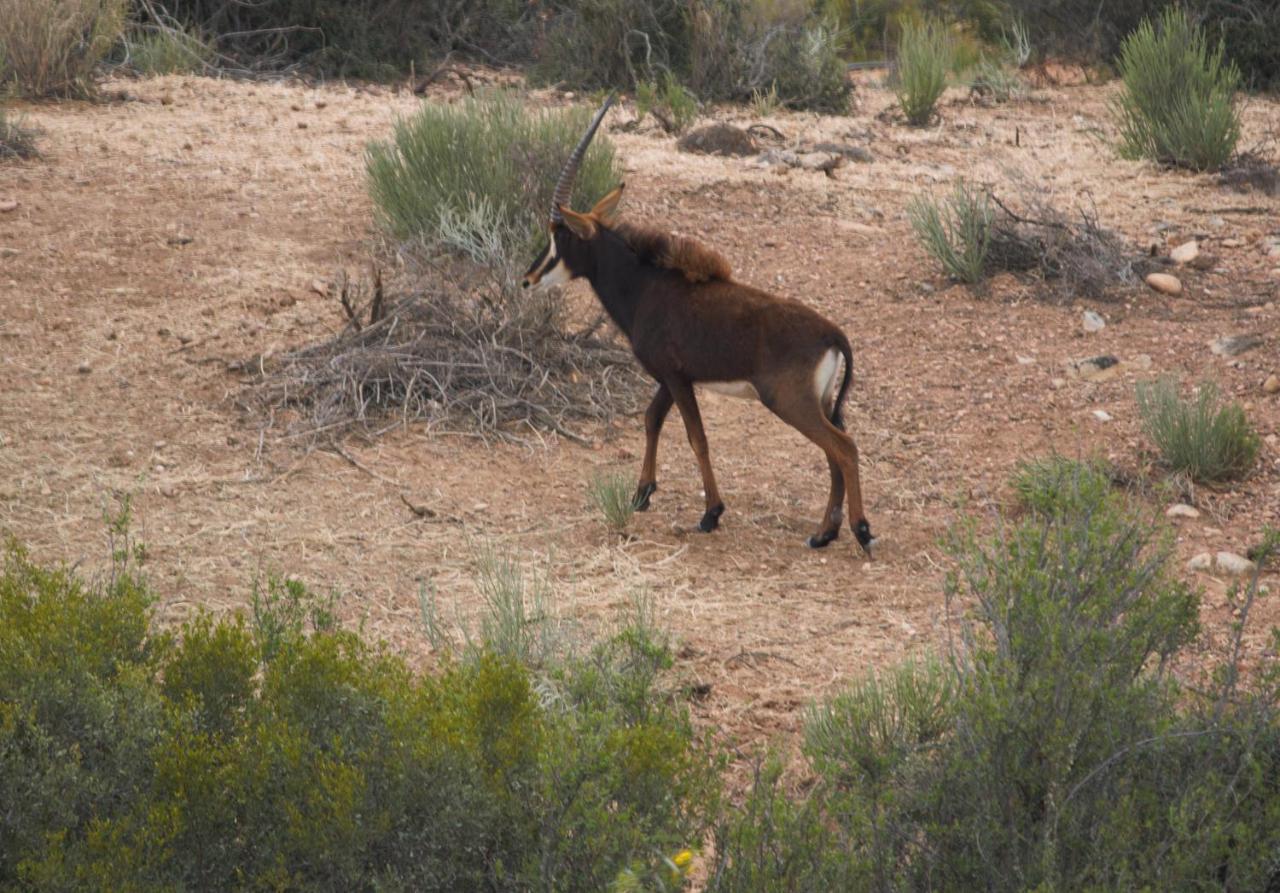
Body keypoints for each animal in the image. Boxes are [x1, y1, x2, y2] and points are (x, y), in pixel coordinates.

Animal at [524, 95, 875, 550]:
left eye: (559, 235)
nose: (528, 278)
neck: (646, 284)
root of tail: (832, 334)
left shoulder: (676, 377)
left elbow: (697, 437)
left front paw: (711, 513)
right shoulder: (670, 378)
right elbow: (651, 420)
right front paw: (642, 493)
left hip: (790, 402)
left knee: (843, 447)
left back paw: (860, 530)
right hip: (823, 402)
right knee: (834, 452)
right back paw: (824, 533)